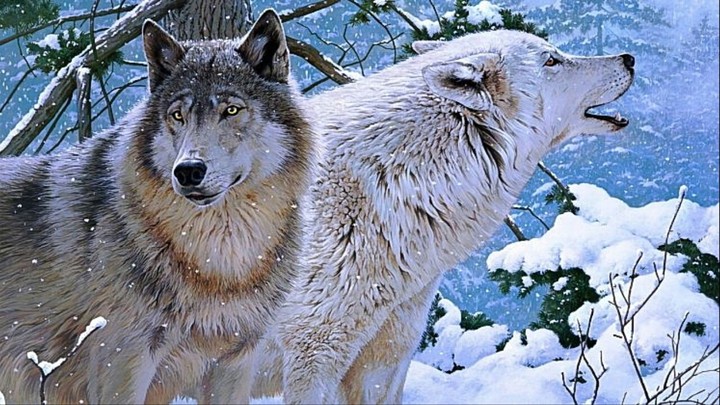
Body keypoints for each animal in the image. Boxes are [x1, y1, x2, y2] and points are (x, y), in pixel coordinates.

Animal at [0, 9, 314, 404]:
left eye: (231, 110)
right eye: (177, 115)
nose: (189, 170)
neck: (221, 261)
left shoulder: (238, 358)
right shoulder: (124, 360)